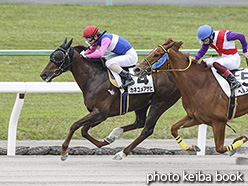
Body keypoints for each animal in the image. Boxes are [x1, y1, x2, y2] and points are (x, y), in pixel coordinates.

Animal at [40, 37, 180, 160]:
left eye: (58, 57)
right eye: (51, 56)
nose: (43, 74)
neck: (94, 77)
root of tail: (173, 74)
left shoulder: (101, 112)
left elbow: (75, 125)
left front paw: (64, 152)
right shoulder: (99, 114)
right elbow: (84, 130)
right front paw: (106, 141)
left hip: (160, 103)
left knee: (147, 130)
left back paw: (122, 153)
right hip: (143, 103)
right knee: (140, 122)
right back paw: (114, 134)